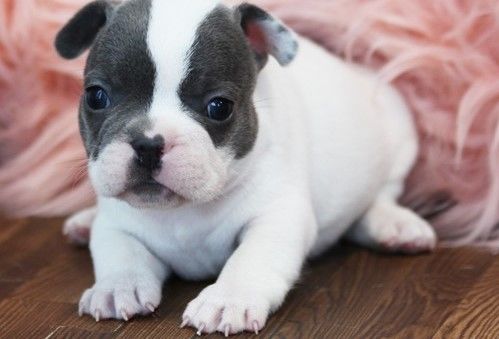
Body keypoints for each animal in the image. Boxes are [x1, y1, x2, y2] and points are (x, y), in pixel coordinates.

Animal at [55, 0, 438, 334]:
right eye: (96, 96)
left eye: (219, 107)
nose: (148, 143)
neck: (184, 209)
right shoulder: (118, 222)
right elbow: (119, 251)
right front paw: (117, 286)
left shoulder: (277, 216)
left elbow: (252, 257)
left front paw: (228, 299)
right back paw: (83, 223)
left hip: (398, 133)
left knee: (382, 194)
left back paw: (393, 224)